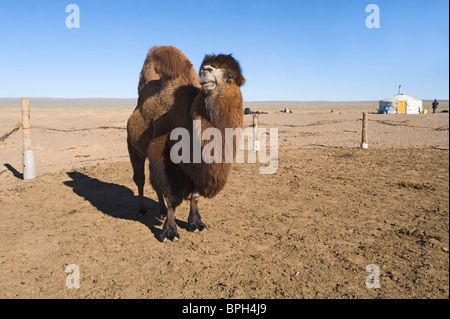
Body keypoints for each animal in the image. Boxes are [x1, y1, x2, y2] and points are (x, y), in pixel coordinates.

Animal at [126, 46, 246, 242]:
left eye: (229, 76)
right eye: (207, 68)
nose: (206, 70)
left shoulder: (195, 166)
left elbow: (195, 196)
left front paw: (196, 223)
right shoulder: (163, 157)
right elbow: (171, 196)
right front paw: (169, 232)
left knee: (154, 185)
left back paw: (160, 211)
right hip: (134, 149)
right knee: (141, 180)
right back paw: (141, 210)